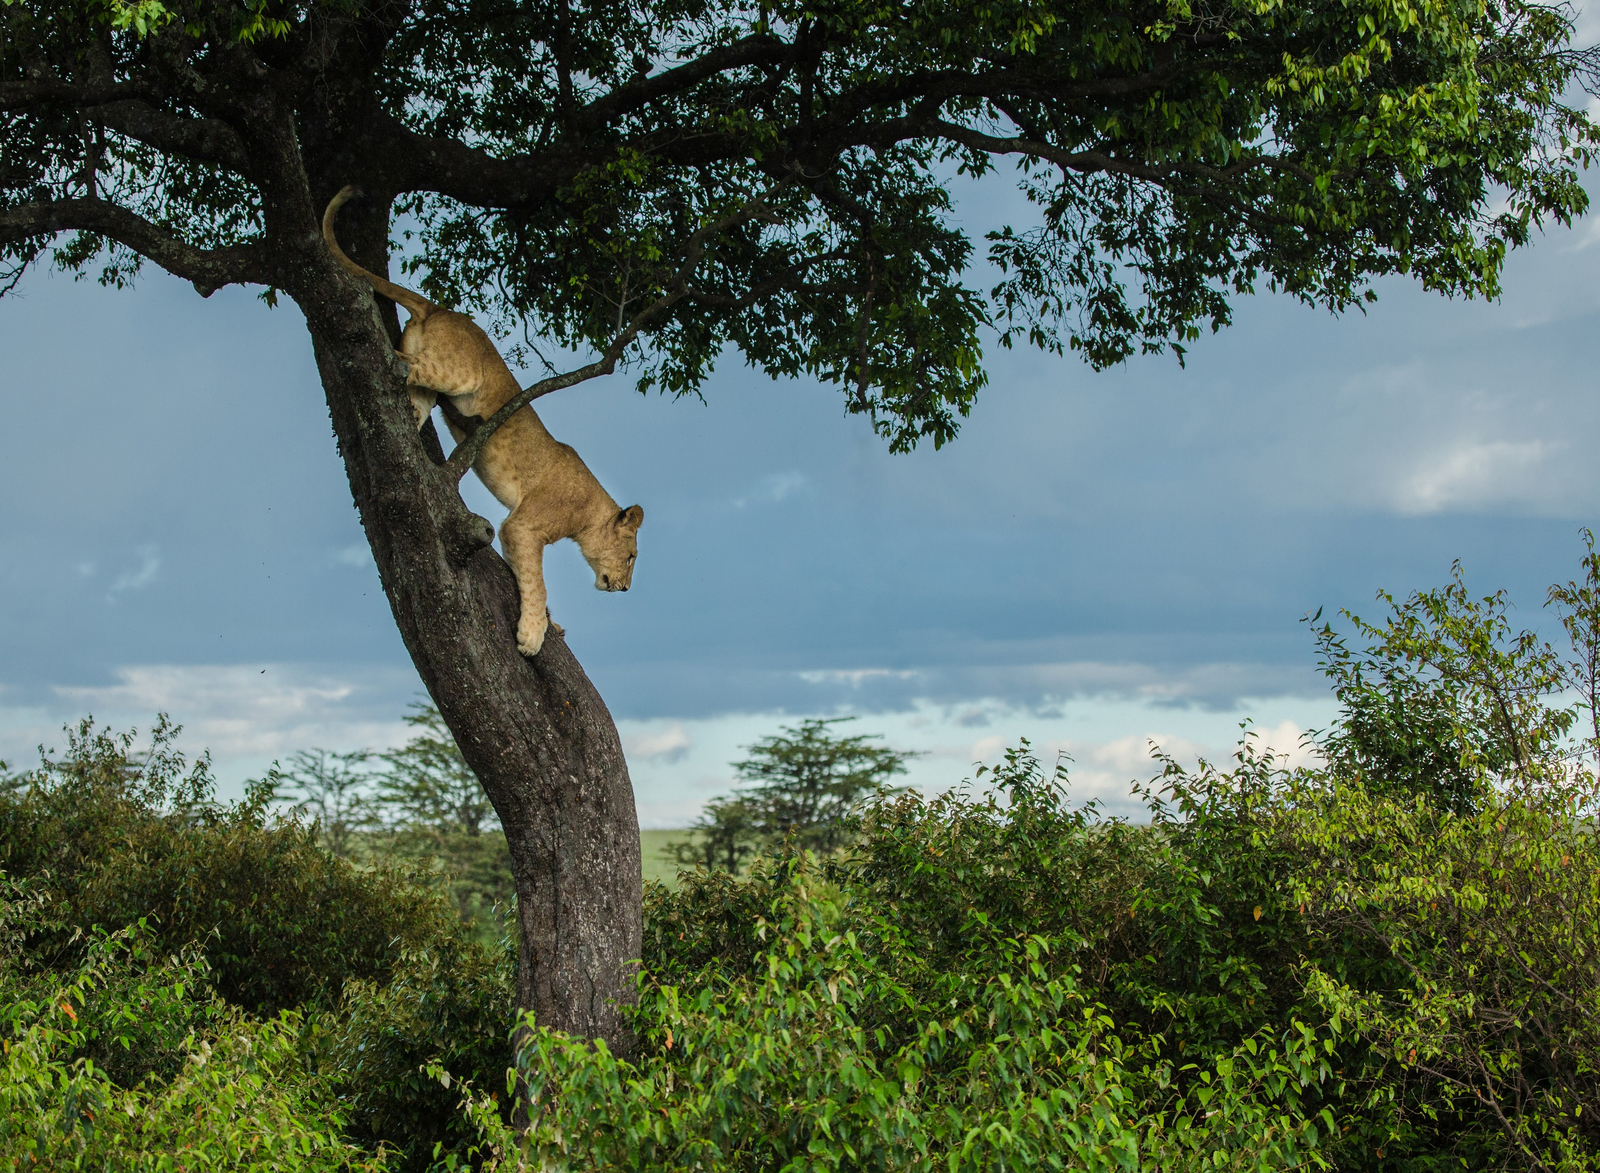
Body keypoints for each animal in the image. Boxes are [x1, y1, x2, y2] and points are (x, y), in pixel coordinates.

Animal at [322, 186, 643, 657]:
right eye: (632, 556)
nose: (625, 589)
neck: (587, 511)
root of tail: (440, 308)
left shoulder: (516, 533)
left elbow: (527, 579)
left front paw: (551, 624)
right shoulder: (523, 525)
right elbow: (538, 583)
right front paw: (533, 635)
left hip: (428, 390)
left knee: (410, 400)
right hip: (459, 372)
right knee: (400, 362)